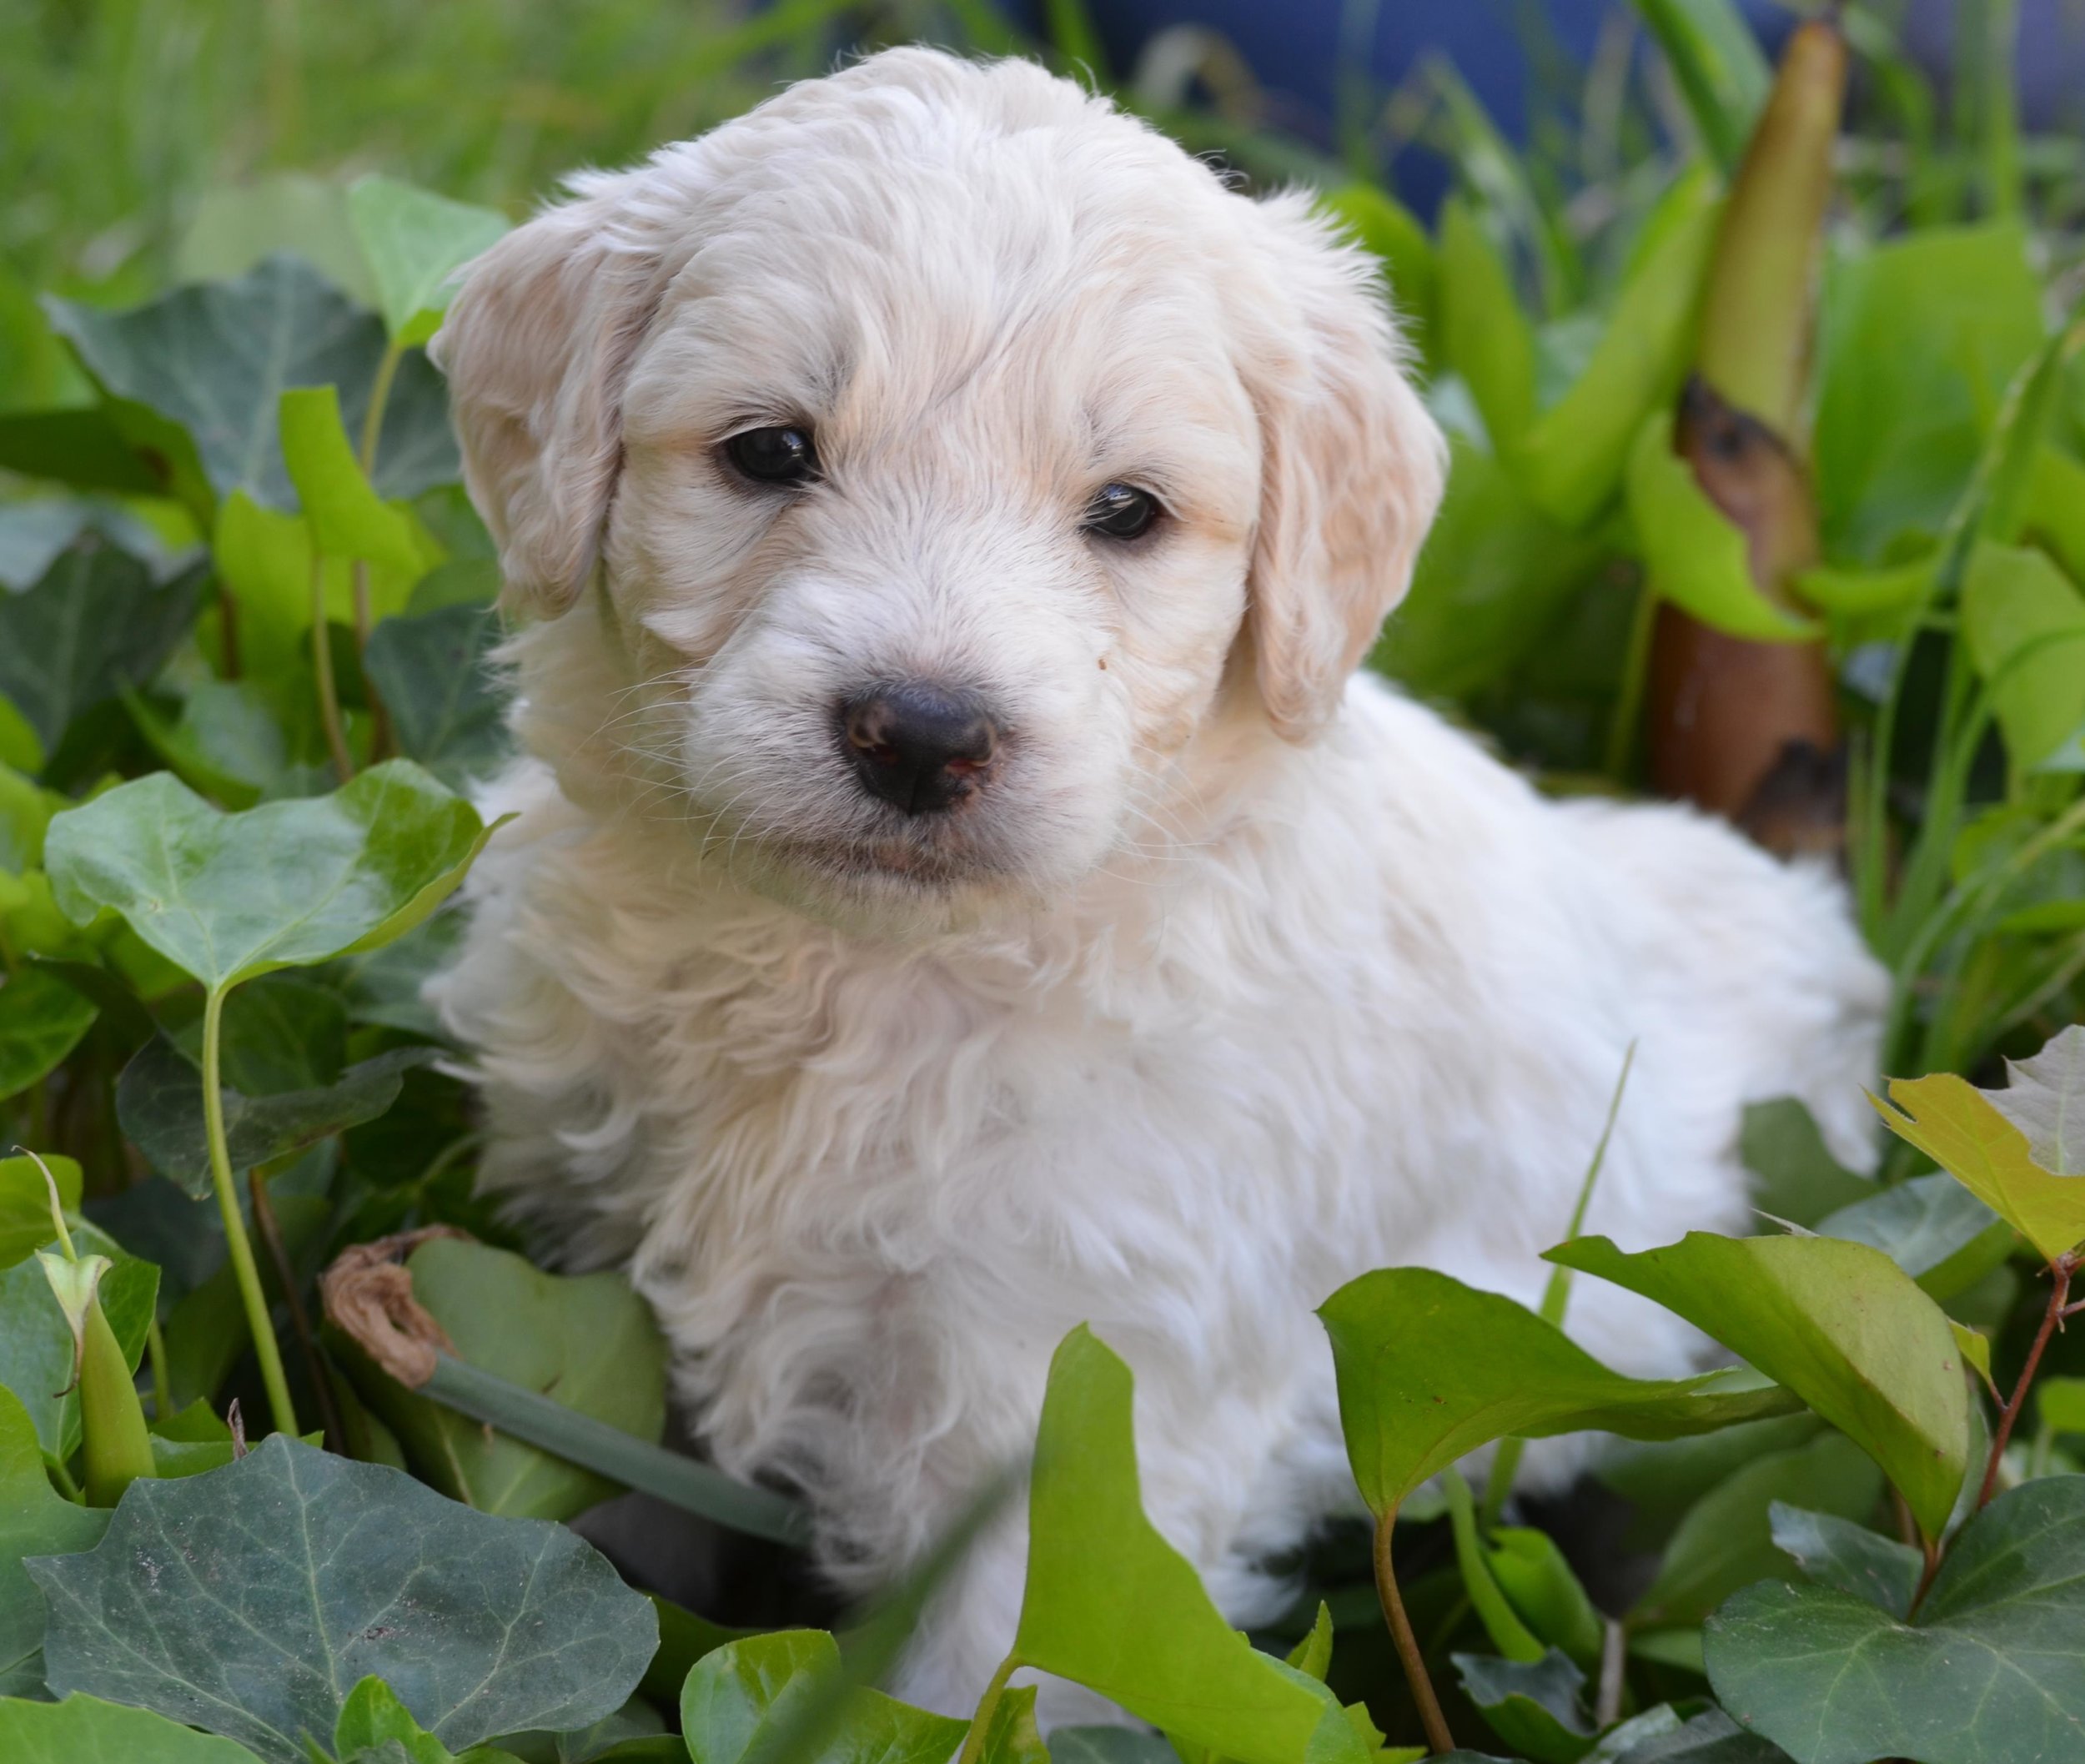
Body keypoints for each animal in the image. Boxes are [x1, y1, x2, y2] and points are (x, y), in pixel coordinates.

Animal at [427, 44, 1893, 1726]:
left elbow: (979, 1694)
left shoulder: (1068, 1435)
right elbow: (607, 1528)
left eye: (1125, 511)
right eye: (770, 450)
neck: (865, 979)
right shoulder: (599, 1274)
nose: (921, 733)